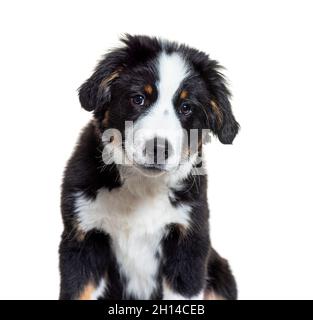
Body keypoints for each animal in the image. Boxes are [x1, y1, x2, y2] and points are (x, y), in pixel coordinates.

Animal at [59, 35, 239, 300]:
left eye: (186, 107)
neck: (142, 186)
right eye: (139, 99)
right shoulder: (82, 238)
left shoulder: (189, 244)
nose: (158, 149)